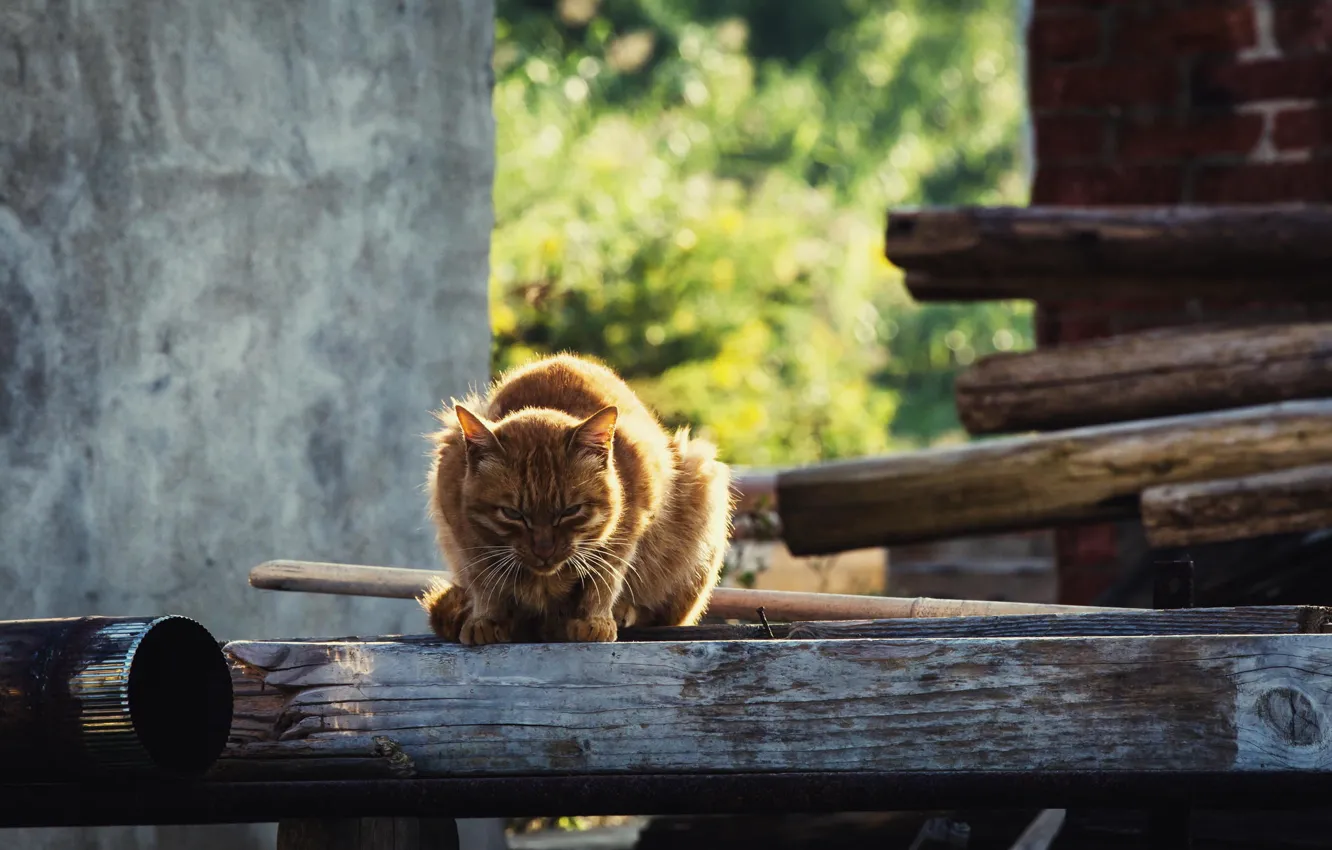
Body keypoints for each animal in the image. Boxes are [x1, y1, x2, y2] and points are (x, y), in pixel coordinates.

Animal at [420, 354, 735, 644]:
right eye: (512, 514)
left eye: (570, 510)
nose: (544, 550)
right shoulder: (461, 528)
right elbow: (484, 580)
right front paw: (486, 619)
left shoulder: (632, 521)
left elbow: (605, 577)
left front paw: (594, 620)